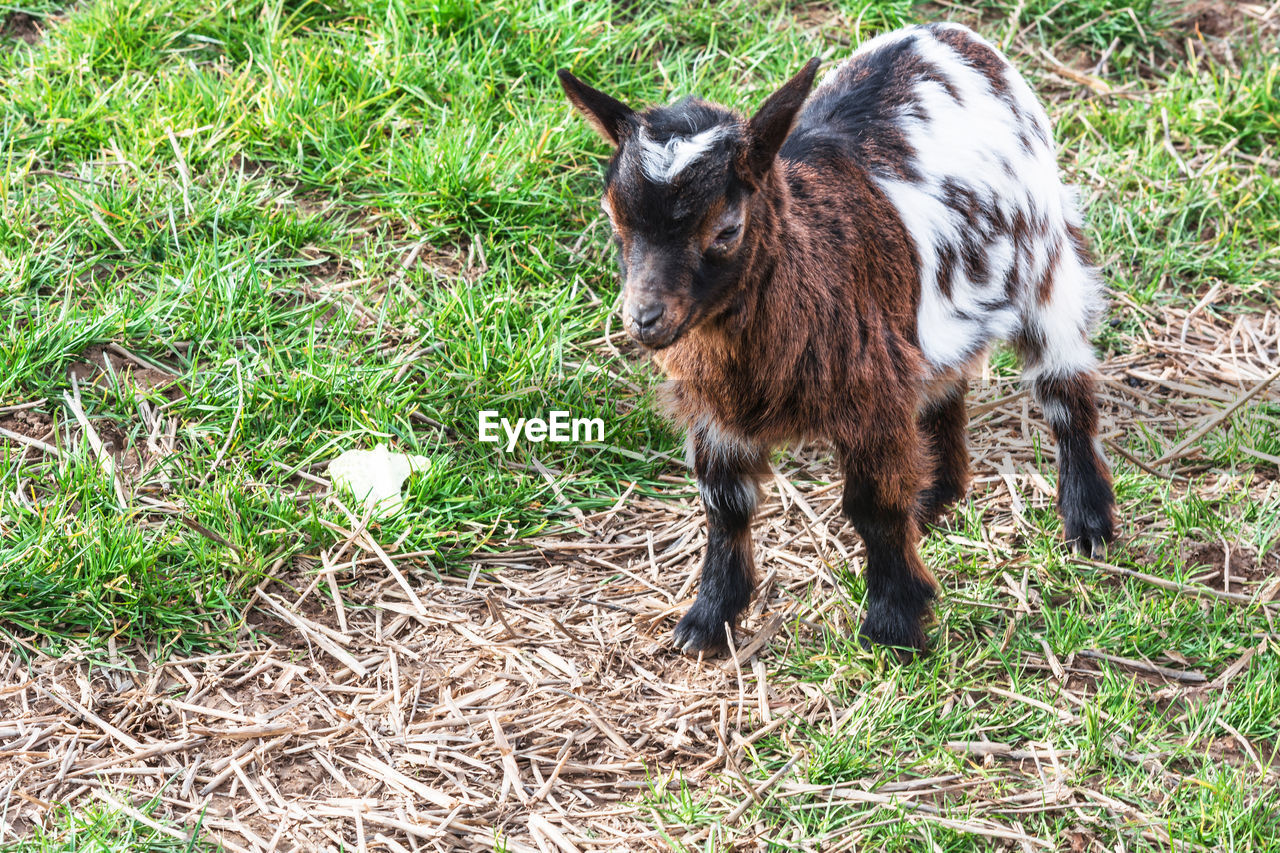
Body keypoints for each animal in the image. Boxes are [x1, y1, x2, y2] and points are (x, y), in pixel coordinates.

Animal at [558, 24, 1111, 650]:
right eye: (613, 219)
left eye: (726, 229)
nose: (643, 319)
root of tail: (948, 33)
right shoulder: (717, 411)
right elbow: (725, 505)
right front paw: (708, 619)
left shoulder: (870, 398)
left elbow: (874, 506)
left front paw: (893, 623)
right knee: (944, 383)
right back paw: (936, 495)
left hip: (1046, 259)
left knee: (1064, 384)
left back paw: (1088, 522)